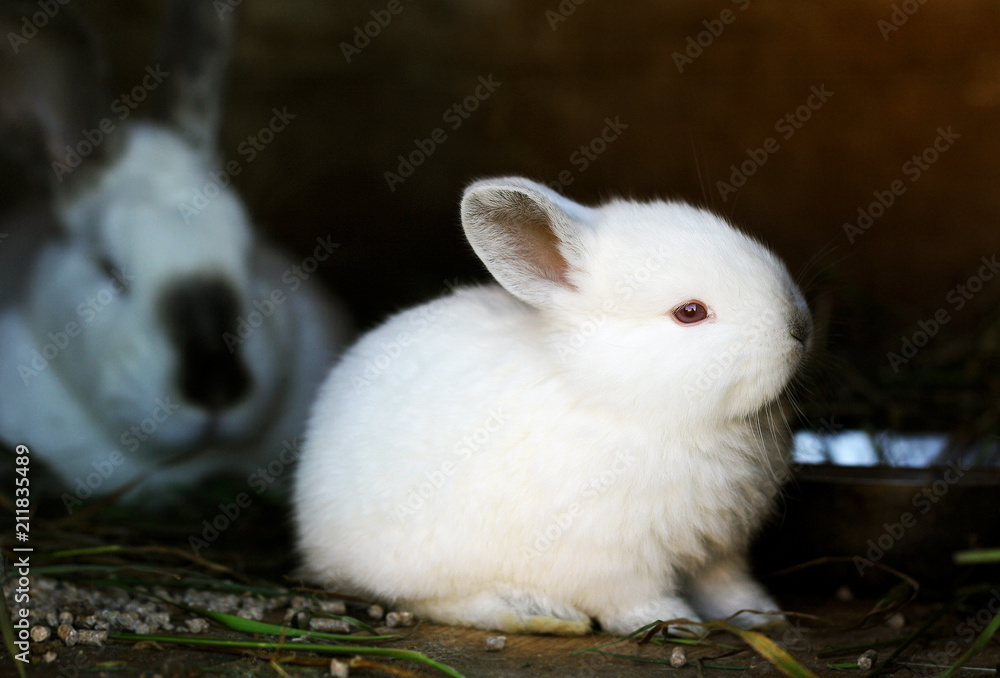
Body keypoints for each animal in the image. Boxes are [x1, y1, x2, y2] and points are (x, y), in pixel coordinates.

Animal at [293, 175, 811, 636]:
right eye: (690, 313)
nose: (799, 328)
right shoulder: (615, 564)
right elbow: (637, 600)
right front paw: (677, 624)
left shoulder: (721, 550)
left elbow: (728, 587)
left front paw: (765, 616)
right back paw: (535, 612)